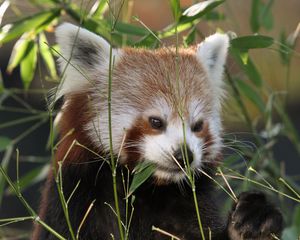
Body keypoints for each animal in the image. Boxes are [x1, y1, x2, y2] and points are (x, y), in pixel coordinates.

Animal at [31, 23, 282, 240]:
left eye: (197, 126)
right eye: (156, 122)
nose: (184, 155)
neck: (146, 190)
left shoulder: (187, 208)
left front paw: (256, 218)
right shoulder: (77, 202)